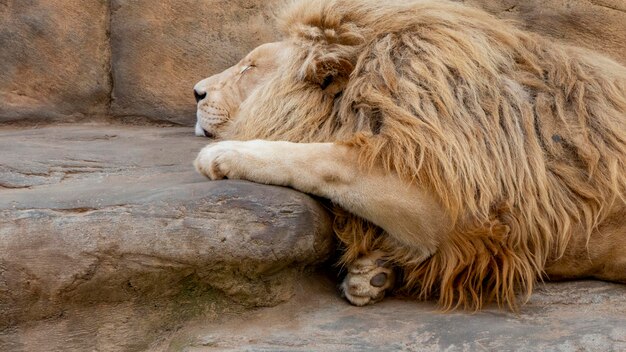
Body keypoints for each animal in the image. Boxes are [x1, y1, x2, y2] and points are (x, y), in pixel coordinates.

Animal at [190, 0, 624, 310]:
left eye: (249, 67)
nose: (196, 91)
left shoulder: (453, 191)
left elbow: (323, 161)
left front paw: (224, 154)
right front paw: (373, 274)